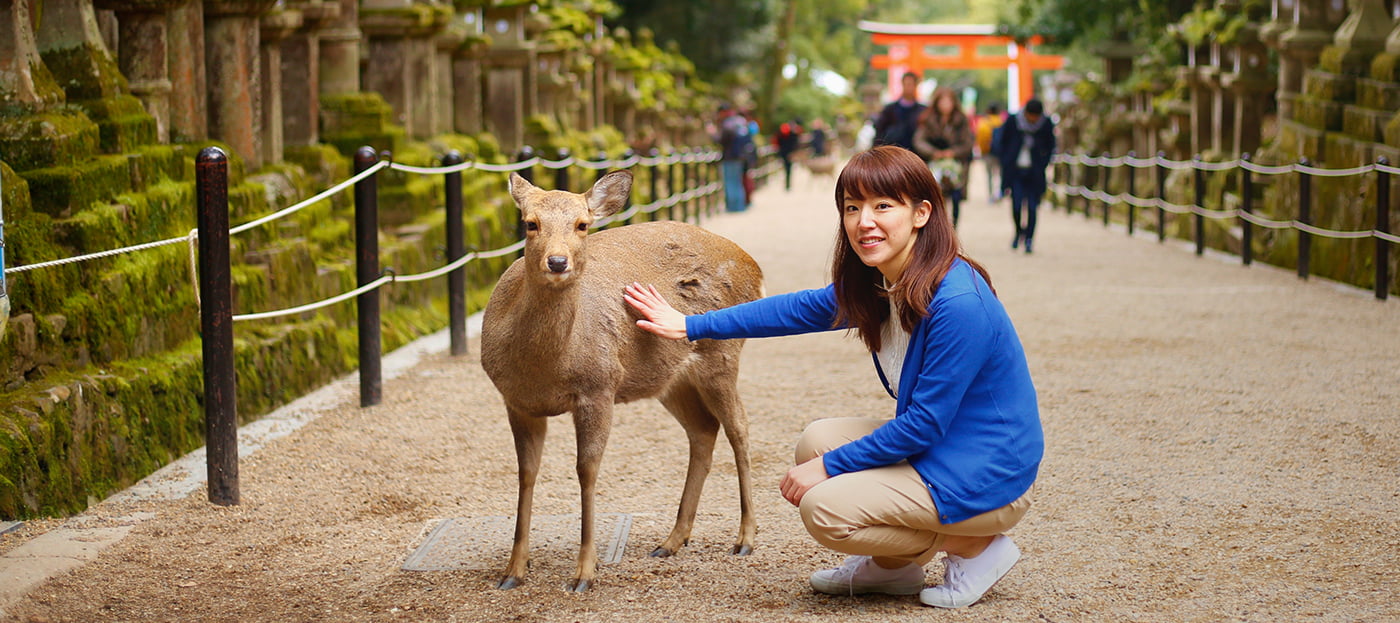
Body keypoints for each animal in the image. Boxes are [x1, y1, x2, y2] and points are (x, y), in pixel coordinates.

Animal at [481, 167, 767, 590]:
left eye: (582, 224)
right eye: (530, 223)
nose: (557, 261)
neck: (544, 370)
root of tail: (754, 266)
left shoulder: (599, 386)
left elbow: (587, 470)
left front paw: (584, 573)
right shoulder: (516, 401)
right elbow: (526, 474)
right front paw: (513, 571)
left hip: (723, 353)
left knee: (739, 428)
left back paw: (745, 538)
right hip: (669, 379)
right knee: (703, 430)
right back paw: (671, 541)